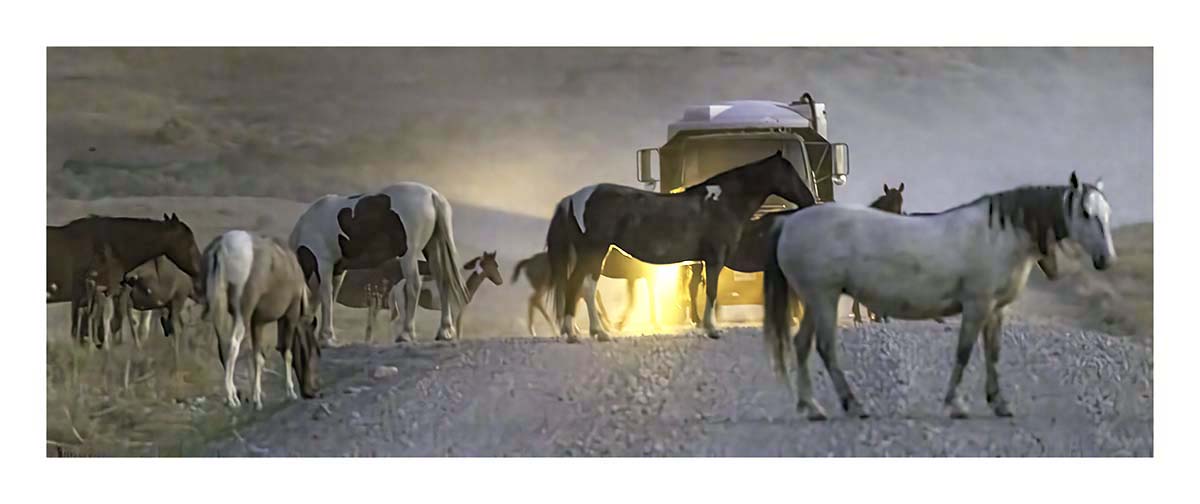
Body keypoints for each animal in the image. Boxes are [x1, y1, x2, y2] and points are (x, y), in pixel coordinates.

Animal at [201, 230, 320, 409]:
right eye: (315, 351)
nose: (313, 392)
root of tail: (221, 247)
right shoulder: (291, 315)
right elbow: (287, 353)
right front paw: (290, 393)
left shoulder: (257, 323)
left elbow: (258, 357)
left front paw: (257, 399)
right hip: (242, 314)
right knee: (233, 344)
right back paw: (232, 399)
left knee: (224, 346)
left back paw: (234, 396)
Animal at [290, 183, 470, 344]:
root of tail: (432, 195)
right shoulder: (338, 269)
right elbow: (330, 298)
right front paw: (325, 335)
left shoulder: (324, 263)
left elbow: (326, 297)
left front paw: (326, 337)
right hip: (433, 248)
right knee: (443, 282)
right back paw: (444, 332)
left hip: (409, 254)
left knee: (414, 286)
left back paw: (406, 334)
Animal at [546, 150, 815, 342]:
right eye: (790, 172)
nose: (809, 199)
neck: (724, 202)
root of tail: (575, 197)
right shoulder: (715, 259)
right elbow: (711, 292)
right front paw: (712, 330)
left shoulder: (704, 261)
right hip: (594, 251)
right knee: (584, 286)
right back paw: (594, 332)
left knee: (577, 286)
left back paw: (578, 331)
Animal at [762, 173, 1116, 420]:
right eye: (1085, 213)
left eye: (1107, 212)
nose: (1106, 260)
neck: (999, 235)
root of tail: (790, 222)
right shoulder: (976, 306)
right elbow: (964, 352)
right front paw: (955, 404)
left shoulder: (995, 310)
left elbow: (993, 354)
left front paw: (999, 403)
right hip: (824, 299)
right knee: (825, 348)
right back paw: (852, 404)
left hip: (814, 300)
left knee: (802, 345)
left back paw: (811, 407)